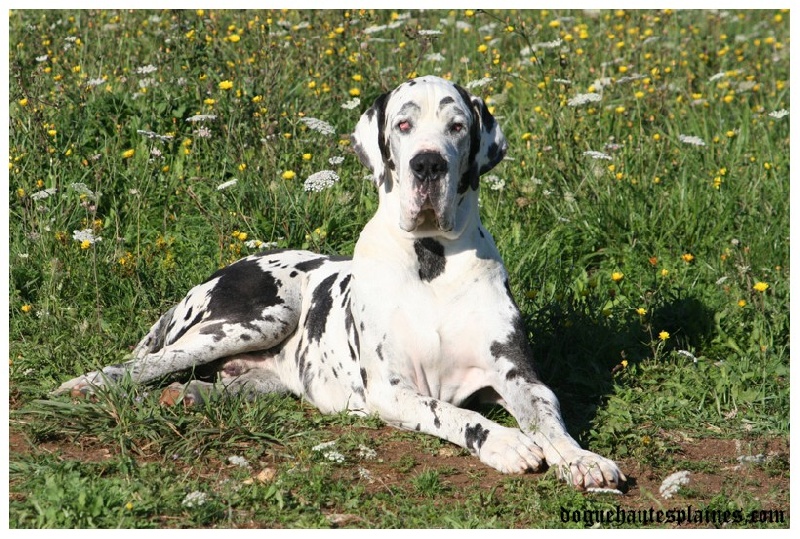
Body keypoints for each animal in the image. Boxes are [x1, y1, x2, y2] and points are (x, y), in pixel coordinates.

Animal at [56, 76, 624, 494]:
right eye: (403, 123)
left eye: (458, 126)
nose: (428, 163)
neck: (430, 259)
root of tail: (227, 266)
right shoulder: (394, 390)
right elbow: (454, 413)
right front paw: (505, 443)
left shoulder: (521, 377)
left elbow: (550, 421)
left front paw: (581, 458)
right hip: (256, 317)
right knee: (145, 363)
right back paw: (87, 384)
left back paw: (190, 397)